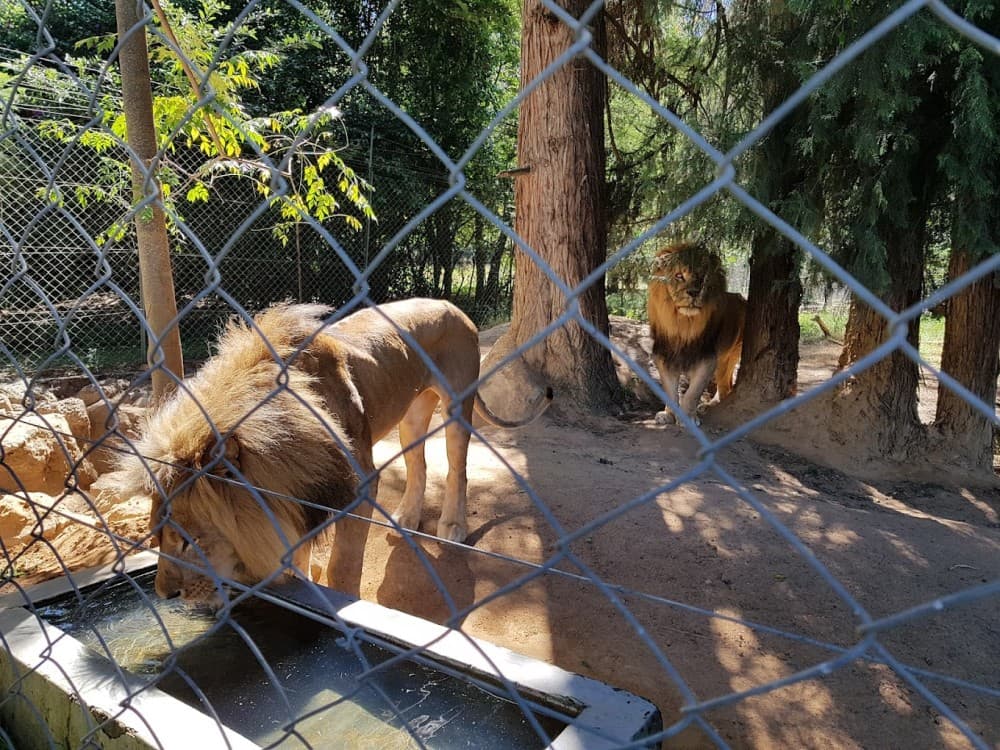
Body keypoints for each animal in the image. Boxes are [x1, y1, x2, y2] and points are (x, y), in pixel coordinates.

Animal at [119, 299, 552, 609]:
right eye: (156, 535)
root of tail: (454, 306)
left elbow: (343, 564)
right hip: (411, 414)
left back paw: (452, 525)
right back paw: (407, 517)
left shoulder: (357, 486)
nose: (164, 595)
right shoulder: (302, 492)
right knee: (418, 463)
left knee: (456, 466)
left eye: (187, 541)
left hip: (457, 405)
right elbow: (299, 550)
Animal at [647, 242, 746, 426]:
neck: (682, 326)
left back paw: (707, 406)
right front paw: (668, 415)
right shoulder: (663, 357)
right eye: (679, 276)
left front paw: (688, 417)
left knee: (725, 387)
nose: (694, 292)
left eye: (702, 276)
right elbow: (670, 391)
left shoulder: (706, 358)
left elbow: (692, 393)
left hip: (730, 355)